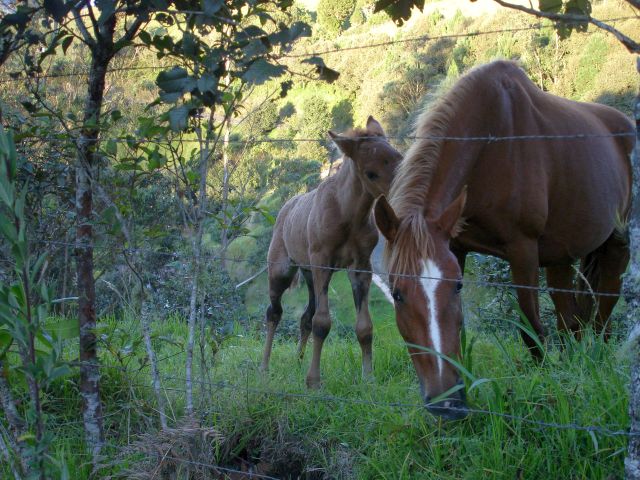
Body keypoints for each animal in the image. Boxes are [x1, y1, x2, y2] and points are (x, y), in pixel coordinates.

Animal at [260, 117, 403, 388]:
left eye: (399, 157)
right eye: (371, 172)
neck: (349, 216)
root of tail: (285, 209)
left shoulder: (361, 267)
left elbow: (364, 326)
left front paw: (368, 378)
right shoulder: (323, 262)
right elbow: (322, 322)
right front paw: (314, 381)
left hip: (308, 273)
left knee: (305, 315)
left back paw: (297, 362)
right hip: (281, 270)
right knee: (274, 312)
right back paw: (265, 365)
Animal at [373, 60, 634, 420]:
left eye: (457, 286)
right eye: (397, 294)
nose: (447, 404)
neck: (492, 142)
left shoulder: (523, 251)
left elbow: (530, 328)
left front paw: (545, 385)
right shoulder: (456, 246)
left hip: (616, 243)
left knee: (605, 301)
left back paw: (599, 358)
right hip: (562, 257)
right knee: (571, 318)